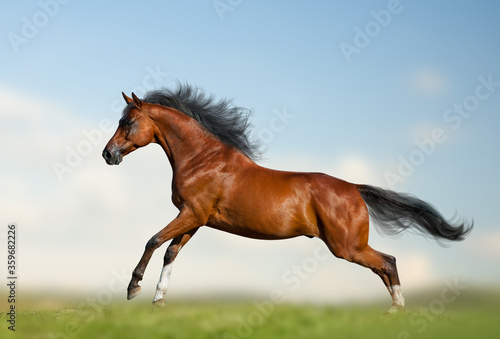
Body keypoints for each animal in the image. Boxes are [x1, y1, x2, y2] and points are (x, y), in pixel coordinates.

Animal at [102, 85, 472, 314]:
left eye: (128, 121)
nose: (108, 154)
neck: (201, 159)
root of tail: (354, 187)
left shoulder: (191, 214)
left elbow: (153, 241)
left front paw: (133, 288)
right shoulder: (196, 219)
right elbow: (171, 252)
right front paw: (158, 301)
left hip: (346, 246)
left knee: (388, 262)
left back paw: (396, 309)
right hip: (349, 246)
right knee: (383, 266)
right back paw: (394, 310)